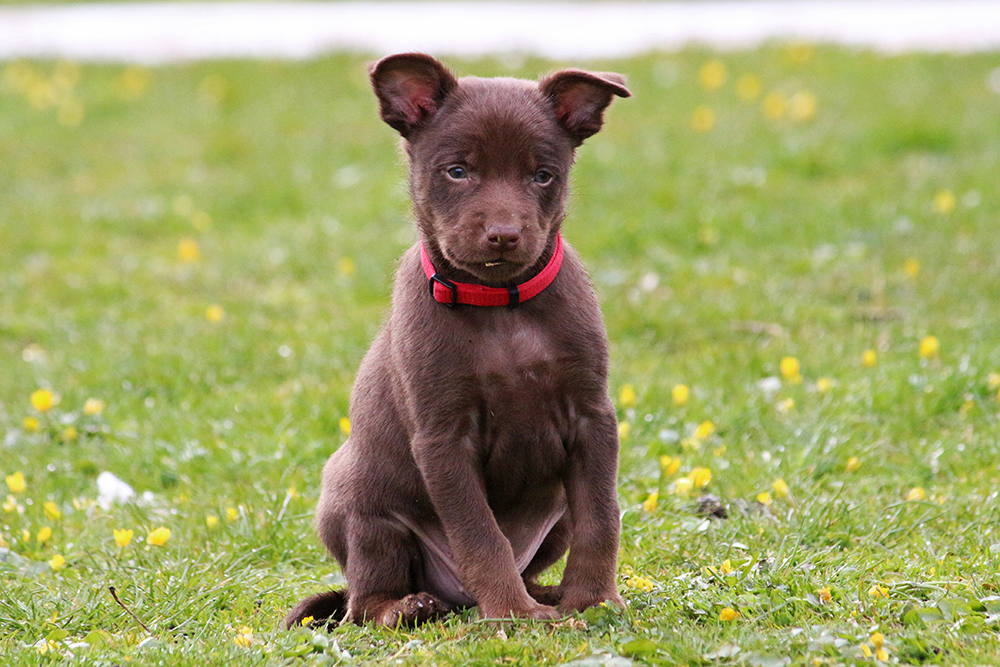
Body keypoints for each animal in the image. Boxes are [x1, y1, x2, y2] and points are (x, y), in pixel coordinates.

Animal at [285, 53, 630, 628]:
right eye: (457, 171)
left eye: (543, 176)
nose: (504, 234)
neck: (499, 305)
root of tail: (456, 597)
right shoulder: (444, 436)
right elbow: (480, 535)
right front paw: (512, 612)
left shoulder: (592, 418)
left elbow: (601, 517)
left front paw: (594, 598)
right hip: (360, 506)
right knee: (363, 599)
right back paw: (408, 606)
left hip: (553, 521)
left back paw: (550, 594)